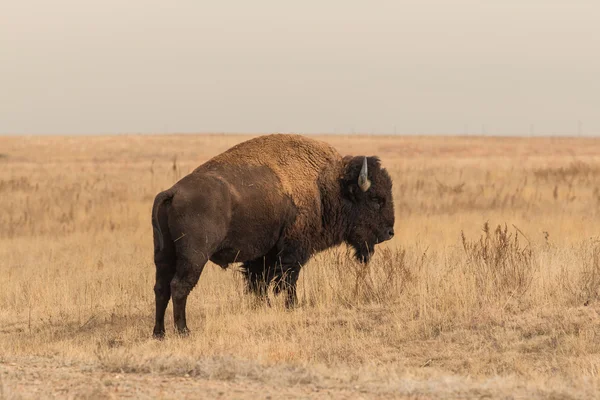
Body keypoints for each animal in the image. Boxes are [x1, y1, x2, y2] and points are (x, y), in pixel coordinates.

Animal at [151, 134, 394, 338]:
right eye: (375, 199)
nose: (389, 232)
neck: (325, 185)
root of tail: (173, 191)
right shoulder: (293, 251)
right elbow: (287, 280)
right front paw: (292, 306)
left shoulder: (264, 254)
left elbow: (259, 282)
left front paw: (264, 307)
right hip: (194, 256)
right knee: (179, 286)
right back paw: (183, 331)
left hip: (164, 255)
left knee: (161, 288)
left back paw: (159, 333)